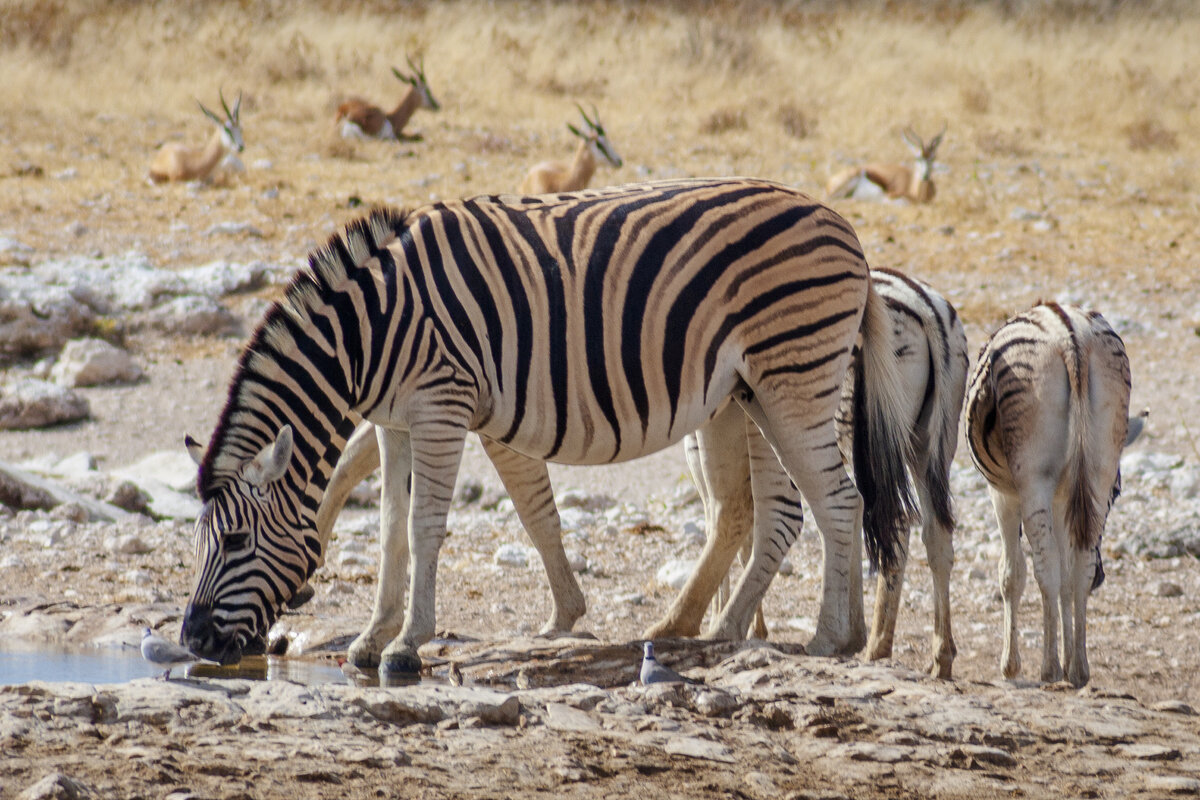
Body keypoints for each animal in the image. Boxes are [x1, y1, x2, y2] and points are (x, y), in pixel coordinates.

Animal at [964, 303, 1132, 686]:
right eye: (1119, 493)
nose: (1102, 580)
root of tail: (1072, 335)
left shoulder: (1003, 495)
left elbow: (1012, 573)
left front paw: (1010, 665)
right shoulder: (1066, 498)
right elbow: (1069, 579)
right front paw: (1070, 656)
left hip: (1033, 478)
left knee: (1046, 568)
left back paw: (1050, 668)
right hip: (1098, 469)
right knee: (1080, 565)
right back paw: (1078, 668)